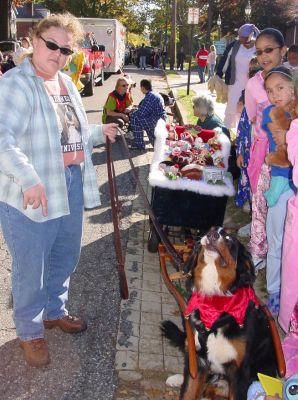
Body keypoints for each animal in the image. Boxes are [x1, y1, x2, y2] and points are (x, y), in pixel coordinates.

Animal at [161, 227, 278, 400]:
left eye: (229, 239)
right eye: (209, 230)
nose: (212, 235)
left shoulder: (239, 372)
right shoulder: (199, 361)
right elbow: (188, 392)